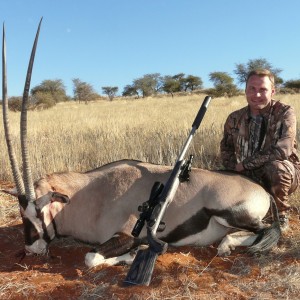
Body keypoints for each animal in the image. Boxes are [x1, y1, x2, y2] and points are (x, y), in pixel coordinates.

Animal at [1, 19, 282, 268]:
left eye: (39, 212)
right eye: (22, 213)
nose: (32, 249)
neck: (89, 194)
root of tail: (262, 190)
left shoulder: (126, 234)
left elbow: (91, 257)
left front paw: (134, 255)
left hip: (233, 214)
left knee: (269, 229)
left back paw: (227, 245)